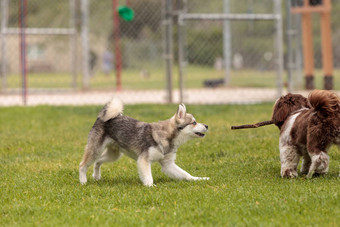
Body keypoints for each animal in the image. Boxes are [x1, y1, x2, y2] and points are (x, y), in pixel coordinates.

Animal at [79, 98, 210, 187]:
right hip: (95, 150)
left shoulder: (168, 164)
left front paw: (199, 179)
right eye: (194, 122)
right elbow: (148, 177)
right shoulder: (144, 160)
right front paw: (151, 186)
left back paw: (96, 176)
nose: (207, 126)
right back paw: (83, 181)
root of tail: (101, 117)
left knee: (98, 162)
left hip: (113, 155)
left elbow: (186, 174)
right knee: (82, 165)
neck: (167, 136)